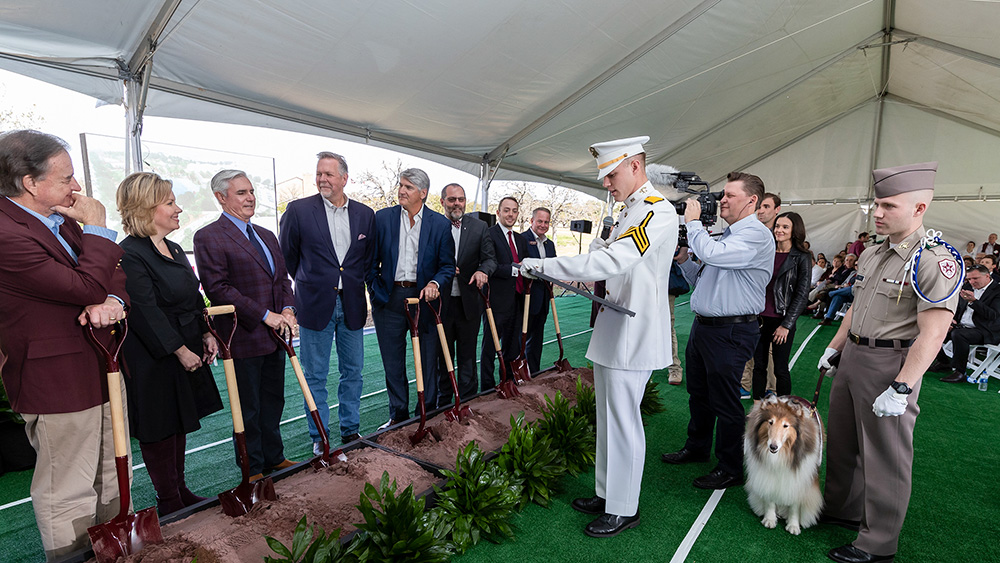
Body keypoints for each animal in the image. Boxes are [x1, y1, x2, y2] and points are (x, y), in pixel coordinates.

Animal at [744, 394, 820, 536]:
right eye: (770, 422)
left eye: (786, 425)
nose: (772, 447)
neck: (781, 455)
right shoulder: (766, 474)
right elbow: (769, 497)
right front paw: (769, 519)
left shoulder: (799, 479)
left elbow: (795, 505)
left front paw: (793, 525)